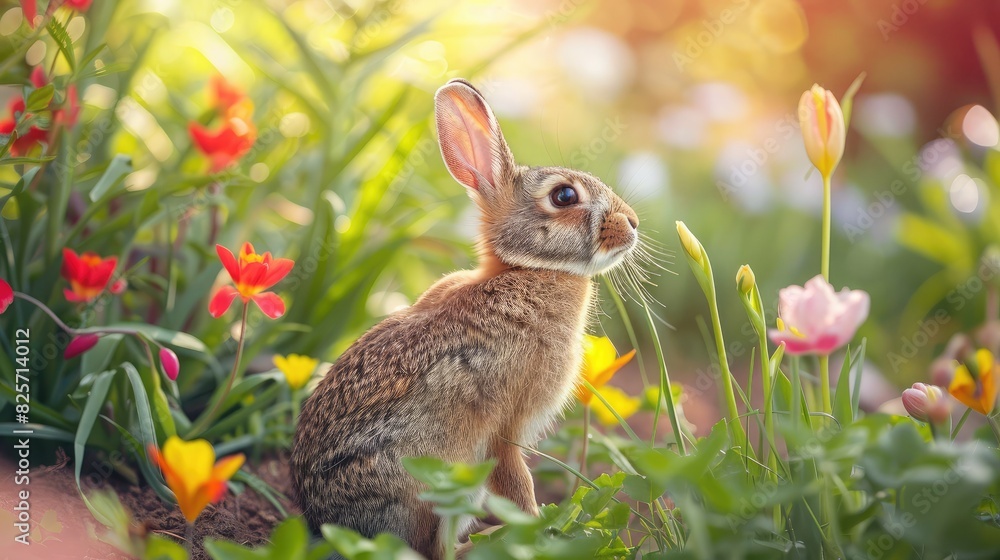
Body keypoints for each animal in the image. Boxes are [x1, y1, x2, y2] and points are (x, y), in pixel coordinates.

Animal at [291, 78, 639, 559]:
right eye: (564, 196)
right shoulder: (506, 427)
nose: (633, 223)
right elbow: (518, 482)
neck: (528, 270)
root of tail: (326, 525)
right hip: (432, 486)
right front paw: (540, 531)